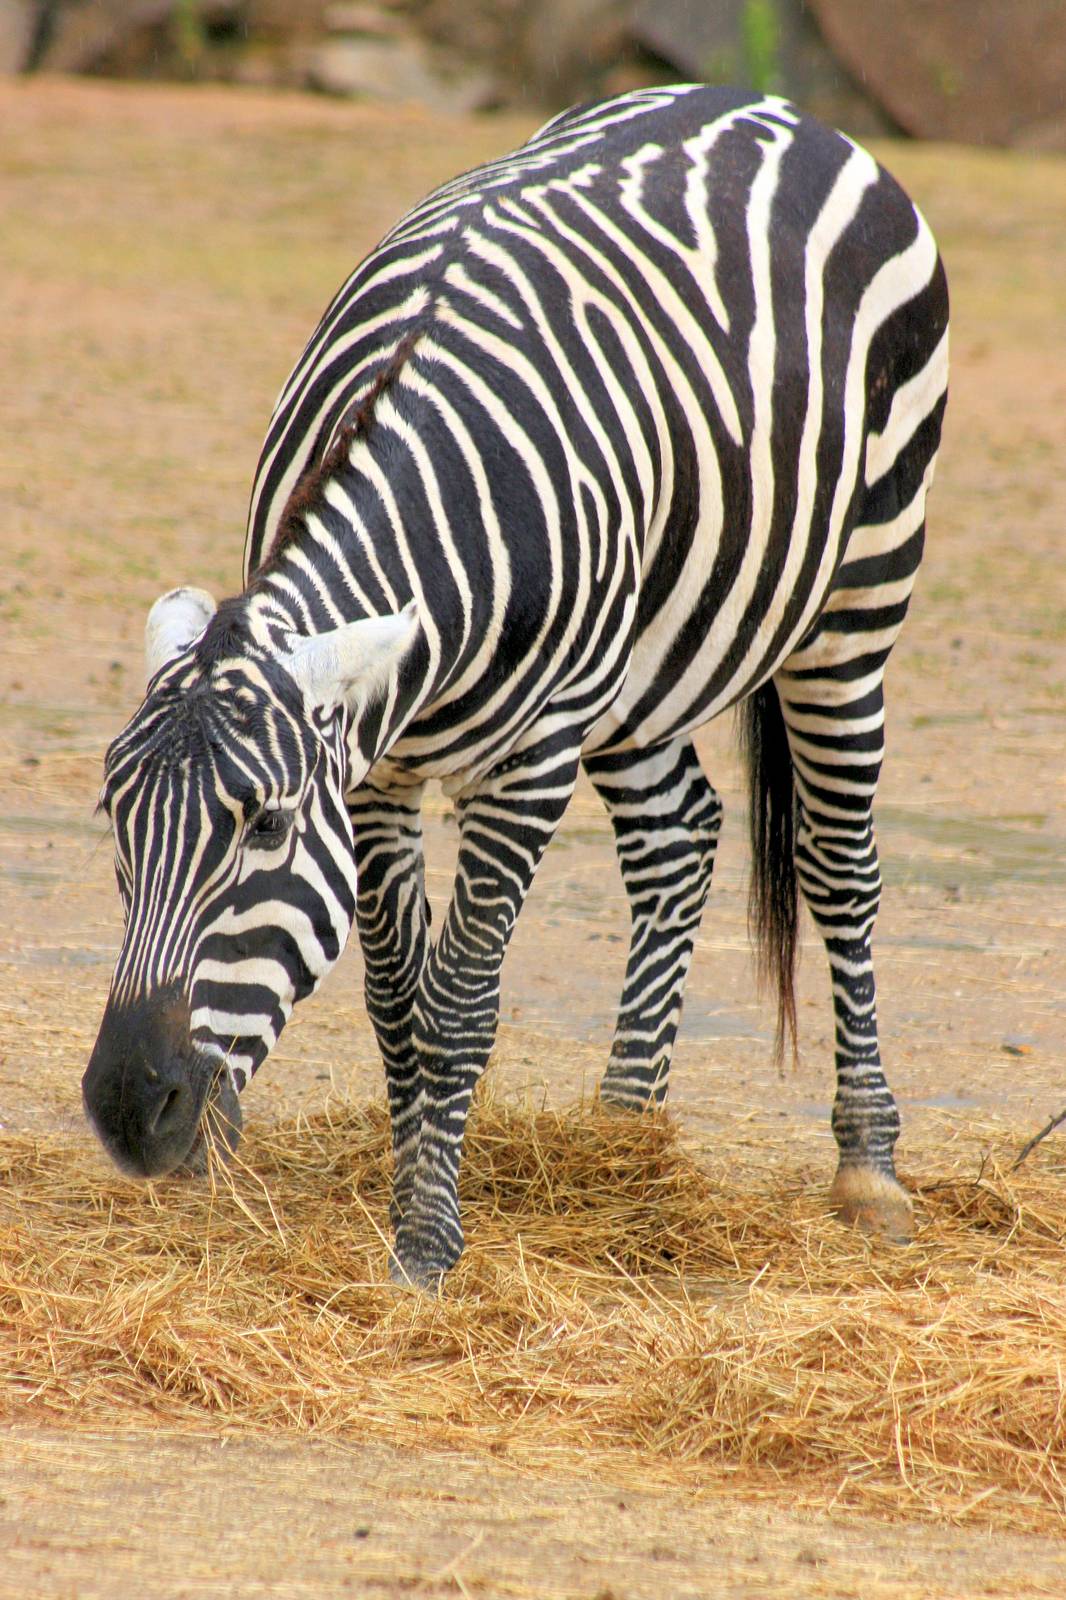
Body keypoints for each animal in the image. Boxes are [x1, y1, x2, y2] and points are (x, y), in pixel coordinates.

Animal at [84, 85, 949, 1288]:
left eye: (263, 828)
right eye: (116, 823)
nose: (129, 1110)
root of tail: (769, 104)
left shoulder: (530, 760)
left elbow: (458, 1000)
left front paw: (425, 1244)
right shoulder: (376, 769)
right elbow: (397, 997)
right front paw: (411, 1186)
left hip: (858, 591)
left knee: (839, 868)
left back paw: (867, 1167)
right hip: (643, 665)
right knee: (680, 836)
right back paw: (623, 1135)